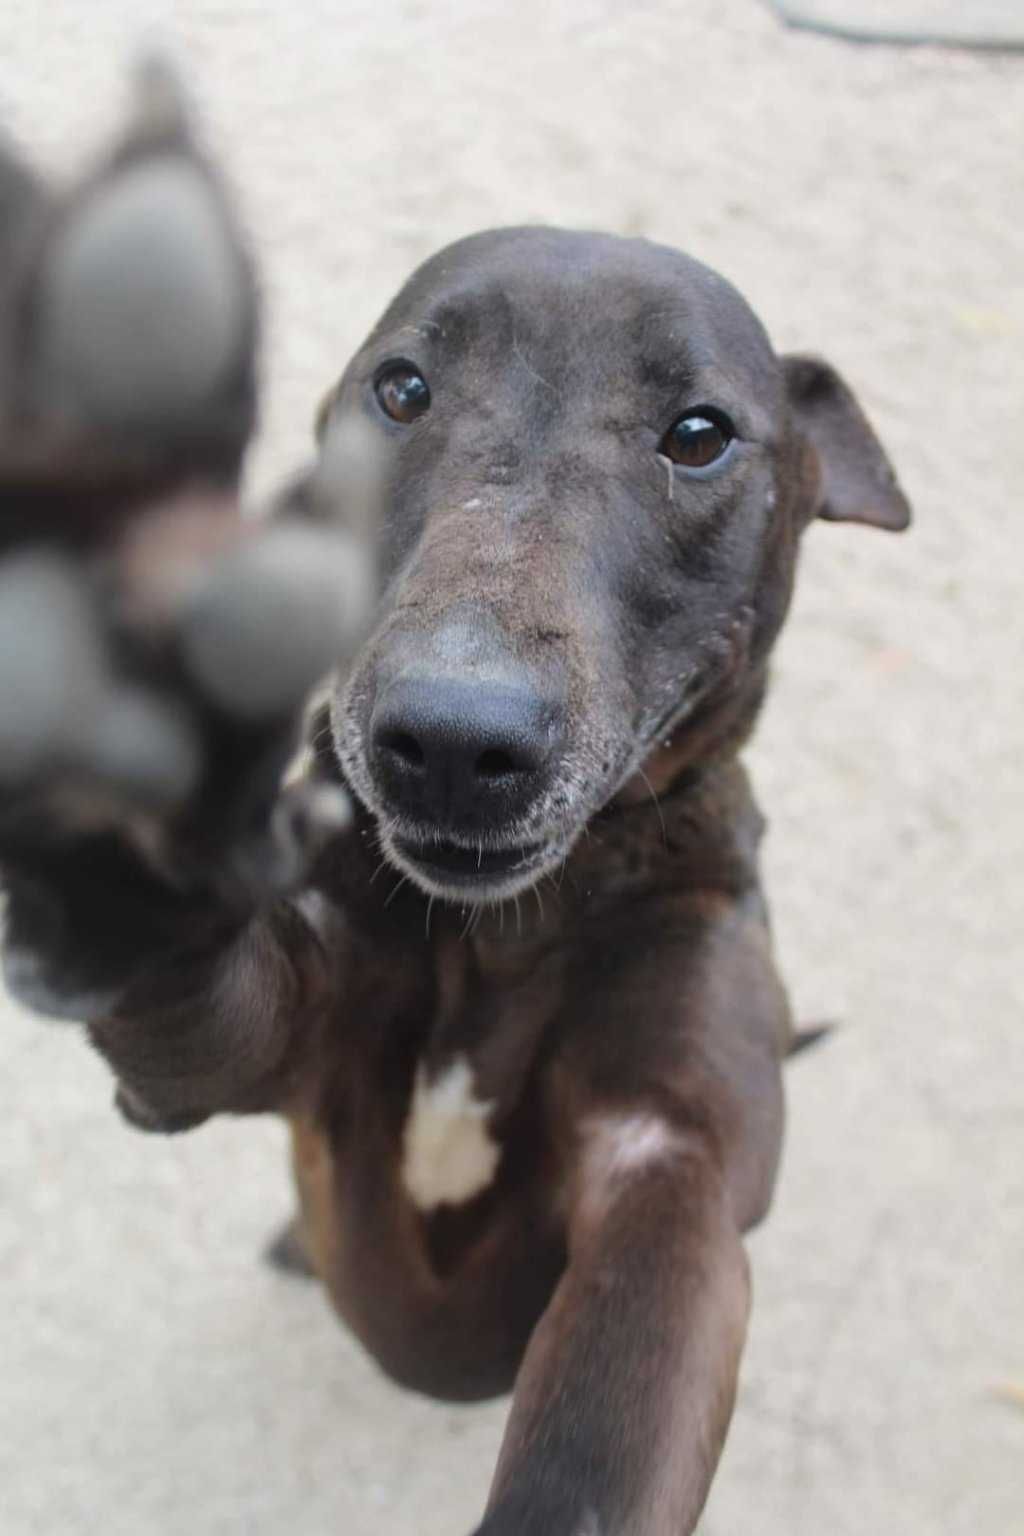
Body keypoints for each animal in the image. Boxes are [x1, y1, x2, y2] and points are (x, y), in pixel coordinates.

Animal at [4, 81, 908, 1536]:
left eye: (699, 432)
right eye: (401, 388)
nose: (450, 741)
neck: (506, 932)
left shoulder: (671, 1169)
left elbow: (594, 1462)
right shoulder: (281, 1043)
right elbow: (206, 1000)